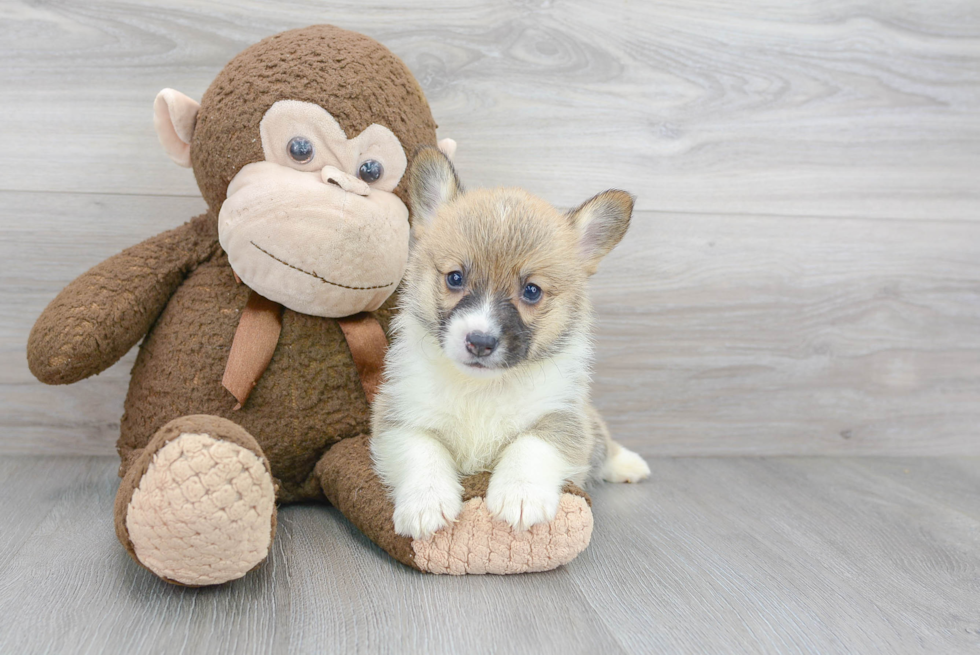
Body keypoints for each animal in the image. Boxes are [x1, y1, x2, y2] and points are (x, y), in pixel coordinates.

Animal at [370, 150, 652, 544]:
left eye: (531, 291)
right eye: (455, 278)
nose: (480, 342)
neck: (481, 389)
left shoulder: (561, 417)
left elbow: (531, 445)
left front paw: (520, 496)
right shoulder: (400, 419)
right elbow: (423, 453)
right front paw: (426, 505)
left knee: (601, 440)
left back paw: (628, 463)